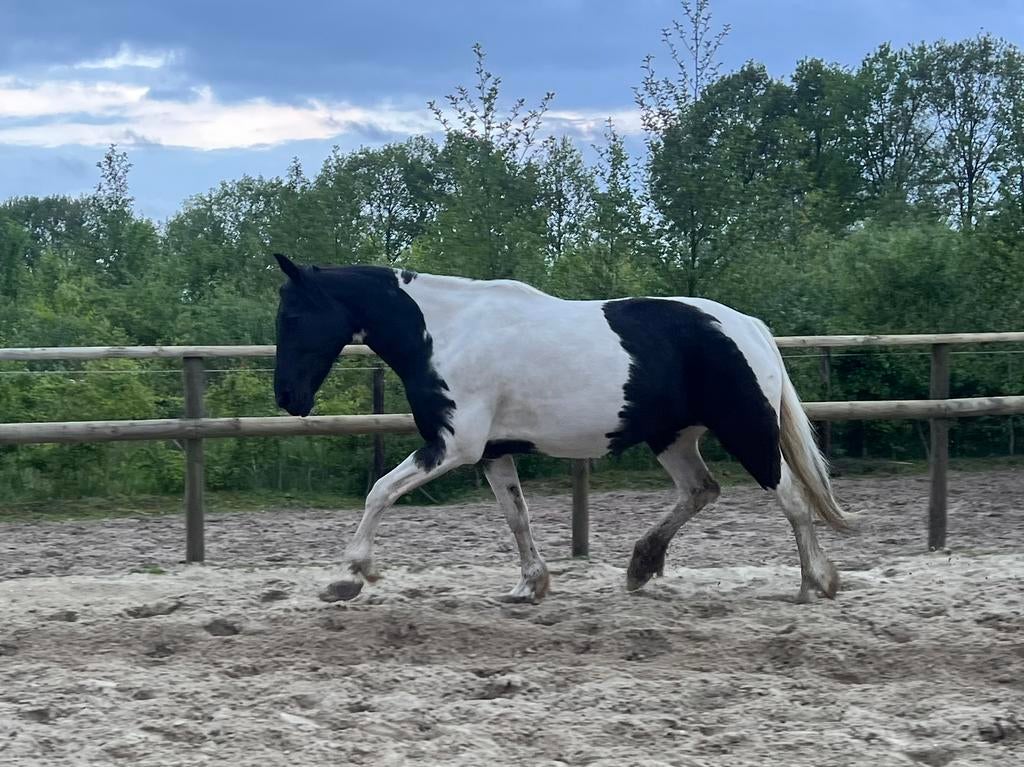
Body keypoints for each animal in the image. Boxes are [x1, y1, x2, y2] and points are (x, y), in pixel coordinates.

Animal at [271, 253, 848, 605]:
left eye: (292, 317)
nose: (287, 398)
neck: (444, 333)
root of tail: (748, 327)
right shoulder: (492, 452)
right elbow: (517, 517)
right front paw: (530, 586)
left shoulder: (455, 445)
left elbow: (379, 492)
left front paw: (351, 576)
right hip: (671, 436)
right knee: (700, 491)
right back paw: (641, 566)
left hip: (746, 429)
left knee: (792, 499)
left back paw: (815, 583)